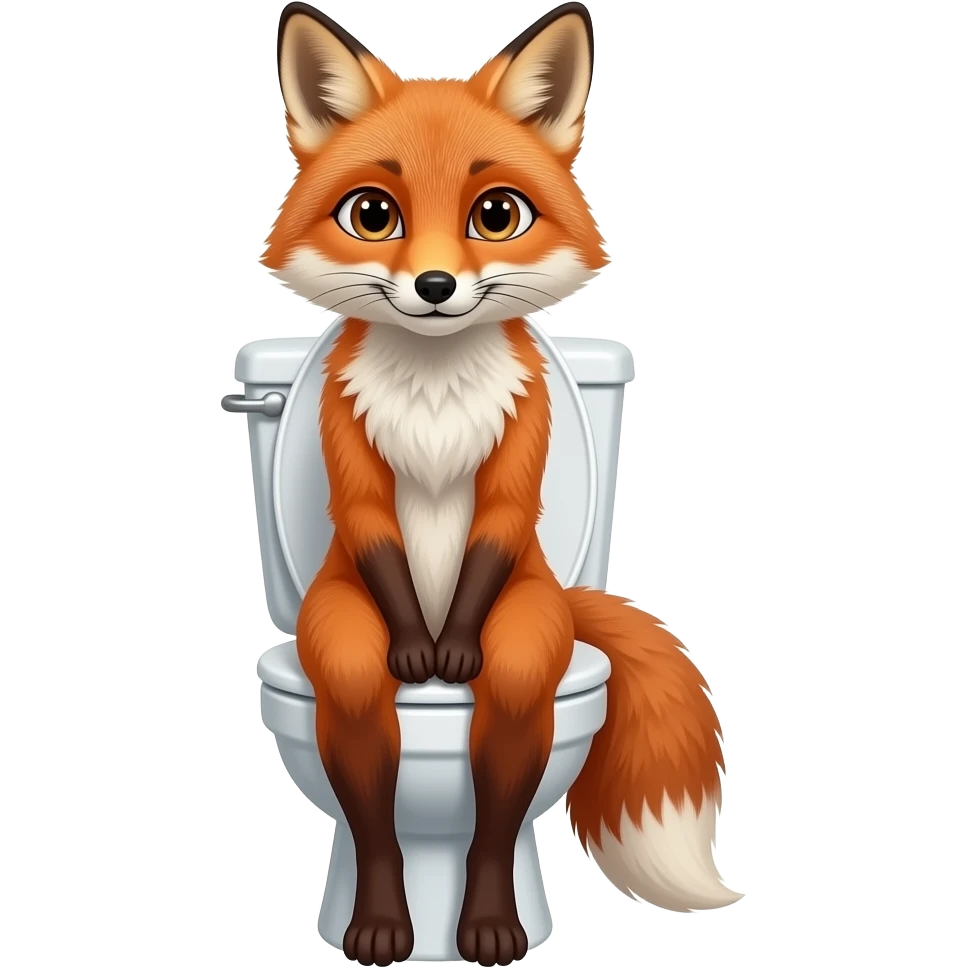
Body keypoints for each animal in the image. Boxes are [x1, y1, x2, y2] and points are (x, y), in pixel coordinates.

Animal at [260, 2, 743, 964]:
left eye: (496, 214)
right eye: (372, 214)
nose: (436, 285)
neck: (435, 387)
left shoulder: (527, 435)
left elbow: (504, 511)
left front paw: (448, 653)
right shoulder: (341, 428)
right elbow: (366, 513)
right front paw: (422, 653)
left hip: (532, 627)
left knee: (506, 737)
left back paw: (487, 924)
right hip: (337, 632)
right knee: (364, 719)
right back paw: (384, 925)